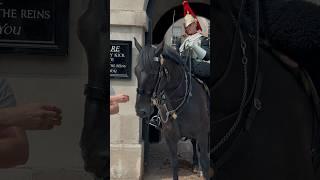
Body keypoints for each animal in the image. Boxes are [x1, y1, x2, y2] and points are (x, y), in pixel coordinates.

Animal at [134, 38, 211, 180]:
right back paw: (195, 164)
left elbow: (205, 163)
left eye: (153, 73)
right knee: (193, 143)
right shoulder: (171, 138)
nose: (141, 110)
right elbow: (175, 165)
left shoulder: (203, 135)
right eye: (135, 71)